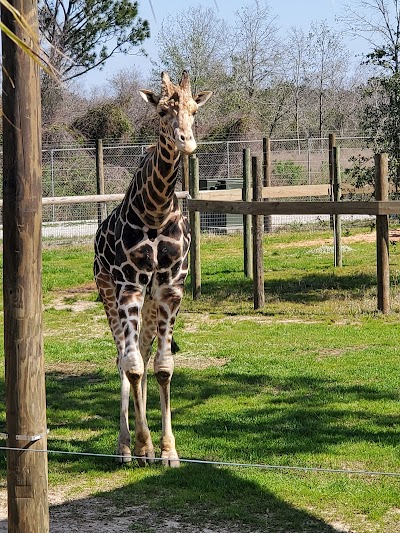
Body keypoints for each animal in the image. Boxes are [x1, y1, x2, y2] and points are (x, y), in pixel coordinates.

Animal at [94, 71, 212, 466]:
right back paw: (125, 447)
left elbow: (162, 368)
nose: (187, 143)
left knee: (142, 354)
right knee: (123, 359)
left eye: (194, 110)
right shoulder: (129, 286)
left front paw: (168, 451)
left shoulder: (169, 289)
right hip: (108, 293)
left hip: (146, 302)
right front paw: (144, 447)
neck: (156, 210)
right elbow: (131, 366)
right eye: (162, 111)